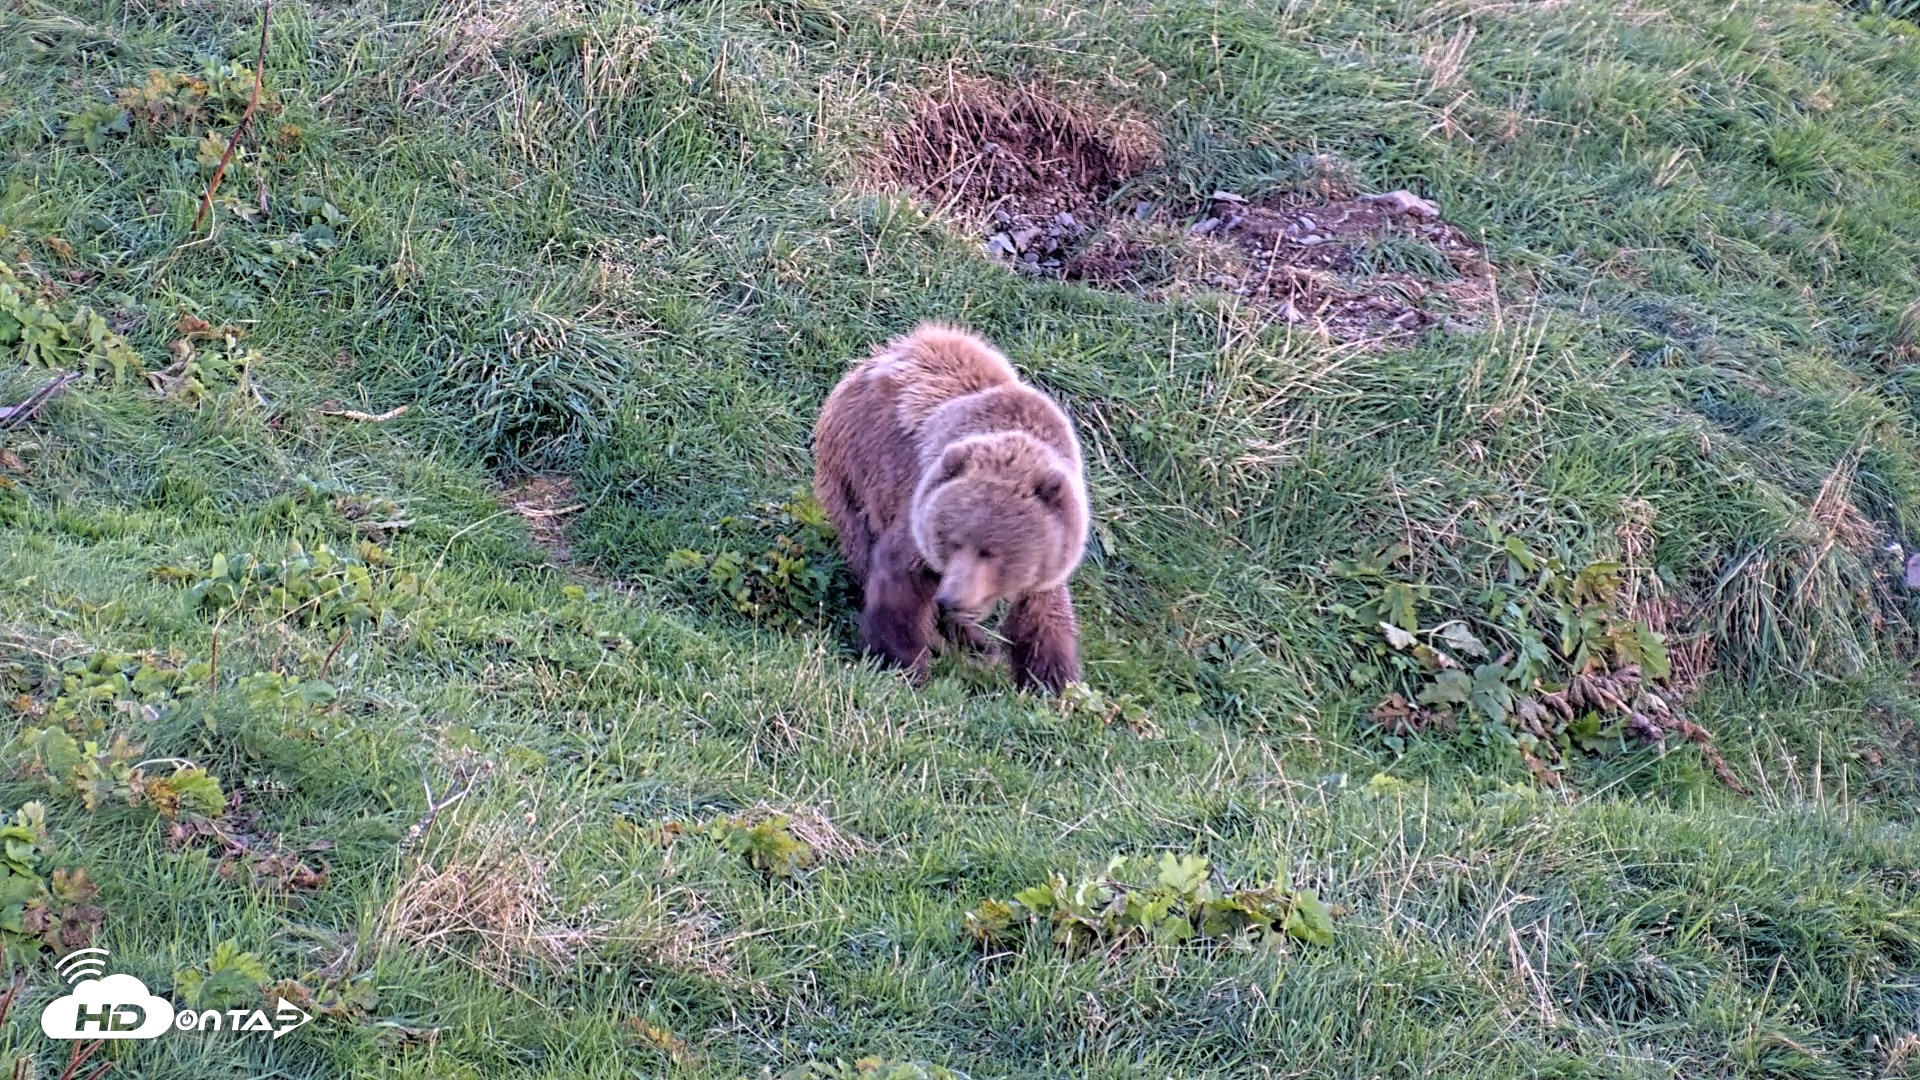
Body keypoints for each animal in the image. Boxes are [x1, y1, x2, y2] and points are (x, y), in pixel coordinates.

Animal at [812, 322, 1089, 692]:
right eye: (952, 541)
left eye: (992, 552)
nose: (952, 599)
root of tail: (876, 356)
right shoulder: (918, 507)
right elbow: (899, 581)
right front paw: (902, 665)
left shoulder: (1052, 549)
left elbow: (1042, 615)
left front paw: (1053, 683)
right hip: (855, 468)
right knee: (861, 542)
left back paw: (976, 642)